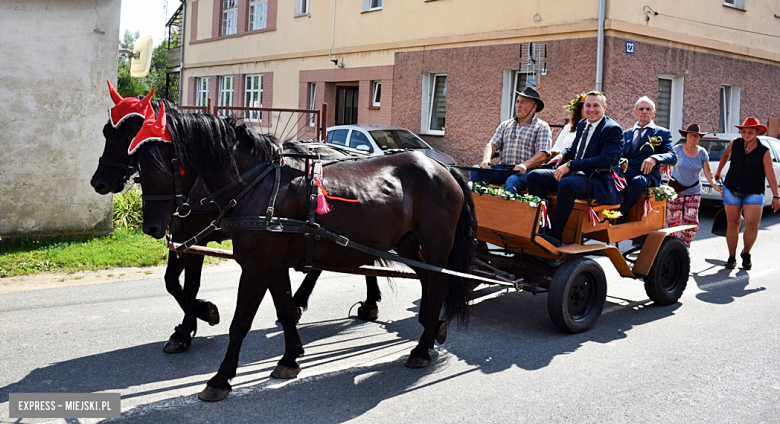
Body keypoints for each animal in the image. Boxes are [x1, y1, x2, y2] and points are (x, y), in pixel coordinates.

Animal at [90, 85, 382, 352]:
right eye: (106, 132)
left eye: (129, 138)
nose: (98, 182)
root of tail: (345, 153)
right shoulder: (182, 237)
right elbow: (172, 282)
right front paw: (198, 316)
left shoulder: (196, 239)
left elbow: (190, 284)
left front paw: (191, 324)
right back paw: (359, 300)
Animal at [133, 106, 476, 400]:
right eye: (137, 162)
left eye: (162, 162)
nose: (152, 225)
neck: (259, 185)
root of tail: (444, 168)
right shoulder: (273, 265)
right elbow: (285, 310)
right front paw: (289, 359)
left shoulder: (258, 266)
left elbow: (240, 322)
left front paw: (220, 379)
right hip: (407, 243)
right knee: (429, 282)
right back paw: (431, 330)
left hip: (434, 244)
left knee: (439, 285)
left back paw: (421, 348)